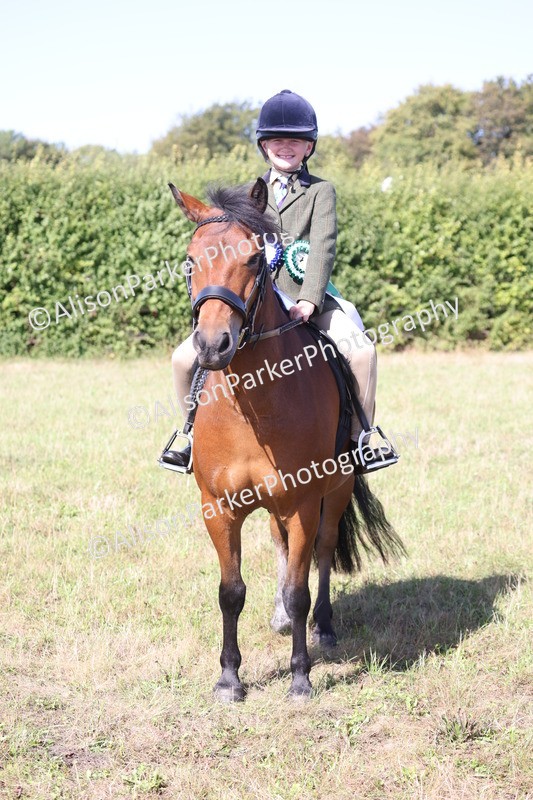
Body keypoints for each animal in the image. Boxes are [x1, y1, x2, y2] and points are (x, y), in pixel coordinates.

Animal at [168, 177, 403, 700]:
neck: (253, 404)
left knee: (322, 553)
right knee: (280, 547)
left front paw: (300, 677)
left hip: (335, 489)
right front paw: (229, 679)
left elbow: (300, 590)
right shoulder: (218, 507)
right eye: (191, 260)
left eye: (256, 258)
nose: (211, 346)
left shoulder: (302, 502)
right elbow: (230, 592)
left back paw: (325, 628)